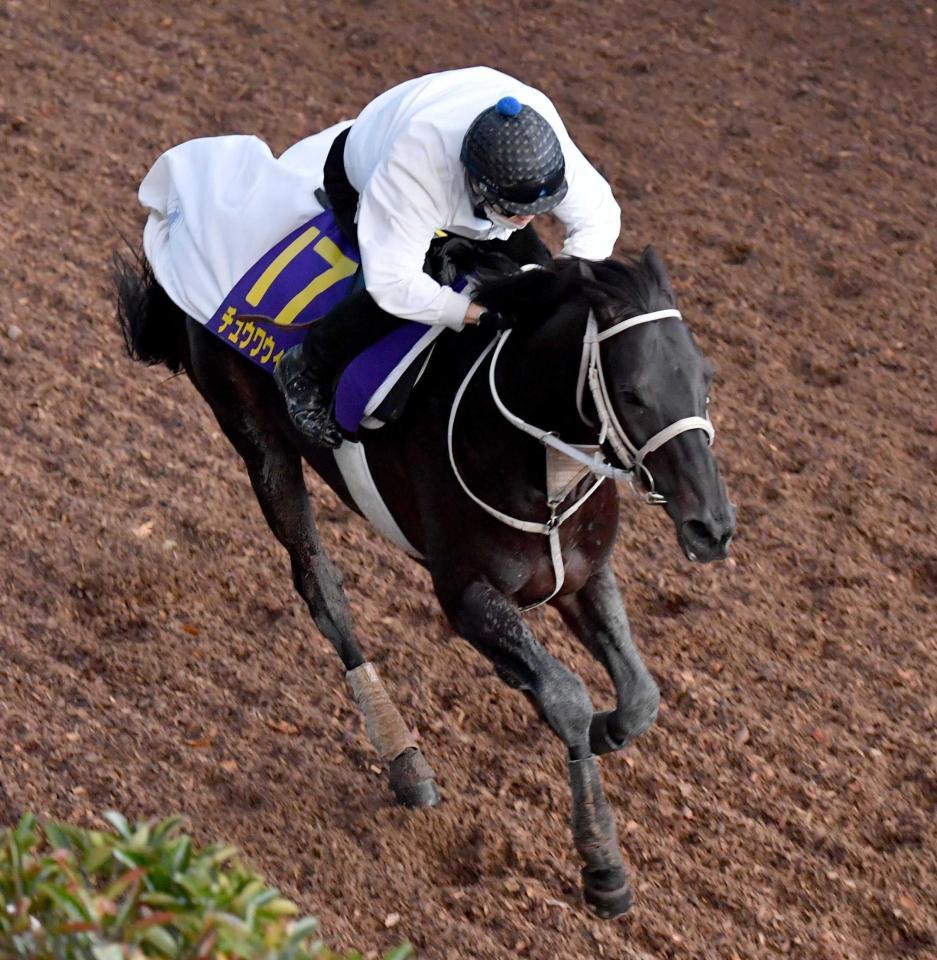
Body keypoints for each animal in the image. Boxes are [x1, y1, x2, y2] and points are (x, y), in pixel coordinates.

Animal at [115, 244, 732, 920]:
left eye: (705, 378)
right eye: (632, 393)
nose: (711, 526)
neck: (532, 455)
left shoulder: (582, 576)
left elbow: (641, 697)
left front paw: (600, 728)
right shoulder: (465, 595)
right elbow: (566, 695)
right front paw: (602, 863)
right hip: (259, 440)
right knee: (322, 591)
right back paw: (404, 760)